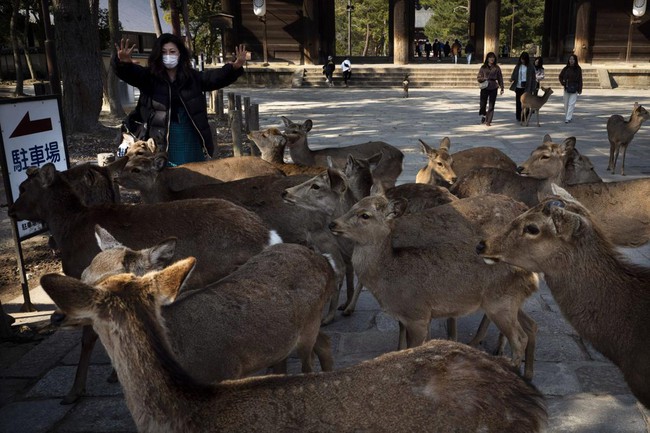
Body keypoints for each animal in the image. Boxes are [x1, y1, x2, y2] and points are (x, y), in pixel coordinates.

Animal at [7, 162, 278, 402]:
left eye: (23, 187)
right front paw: (112, 375)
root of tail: (267, 234)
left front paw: (74, 392)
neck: (69, 231)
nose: (10, 211)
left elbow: (88, 338)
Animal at [326, 192, 536, 378]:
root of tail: (533, 275)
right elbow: (401, 345)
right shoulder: (406, 316)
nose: (332, 223)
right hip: (510, 302)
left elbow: (413, 350)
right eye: (352, 205)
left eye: (365, 215)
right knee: (531, 325)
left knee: (519, 338)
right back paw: (526, 373)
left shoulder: (417, 314)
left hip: (499, 303)